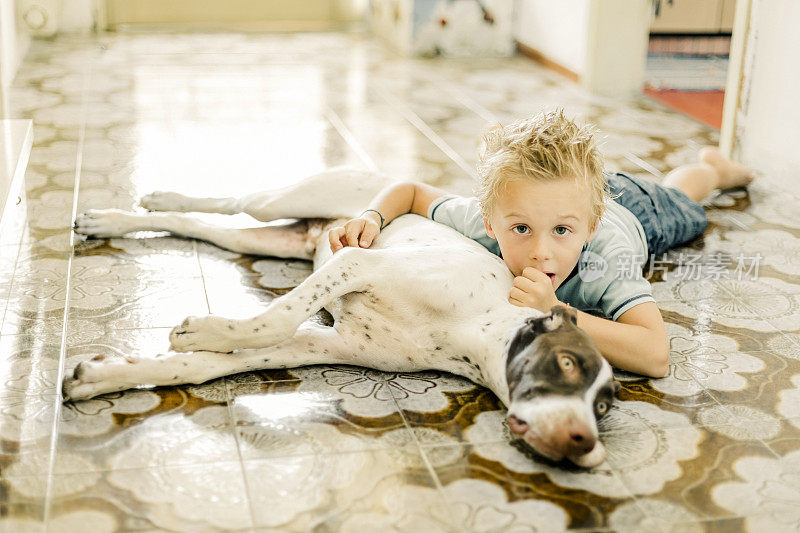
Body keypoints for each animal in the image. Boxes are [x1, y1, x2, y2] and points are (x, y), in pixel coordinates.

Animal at [67, 167, 620, 466]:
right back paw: (148, 199)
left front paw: (102, 376)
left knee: (196, 225)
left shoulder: (324, 343)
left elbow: (206, 364)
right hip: (279, 203)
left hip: (271, 238)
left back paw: (114, 220)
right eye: (567, 364)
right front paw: (201, 328)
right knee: (226, 199)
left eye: (603, 407)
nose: (585, 444)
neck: (475, 321)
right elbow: (273, 317)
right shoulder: (357, 260)